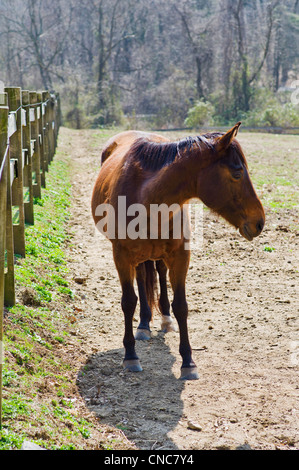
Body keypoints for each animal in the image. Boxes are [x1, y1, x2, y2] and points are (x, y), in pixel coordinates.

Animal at [91, 123, 264, 380]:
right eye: (237, 173)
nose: (259, 222)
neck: (147, 198)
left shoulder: (181, 256)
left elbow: (181, 306)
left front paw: (188, 362)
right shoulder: (120, 256)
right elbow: (128, 302)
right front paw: (130, 356)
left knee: (158, 274)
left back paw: (163, 319)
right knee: (142, 279)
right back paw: (143, 325)